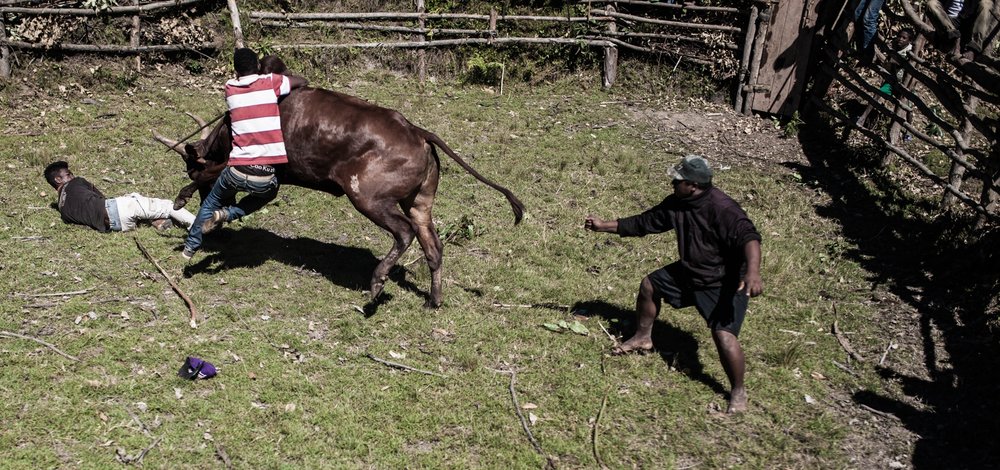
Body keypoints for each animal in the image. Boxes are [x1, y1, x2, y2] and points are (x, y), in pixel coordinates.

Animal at [153, 87, 528, 308]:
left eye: (190, 167)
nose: (205, 201)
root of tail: (417, 131)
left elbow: (215, 175)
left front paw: (186, 204)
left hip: (368, 198)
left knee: (404, 233)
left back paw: (377, 283)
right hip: (419, 202)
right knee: (432, 245)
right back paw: (432, 300)